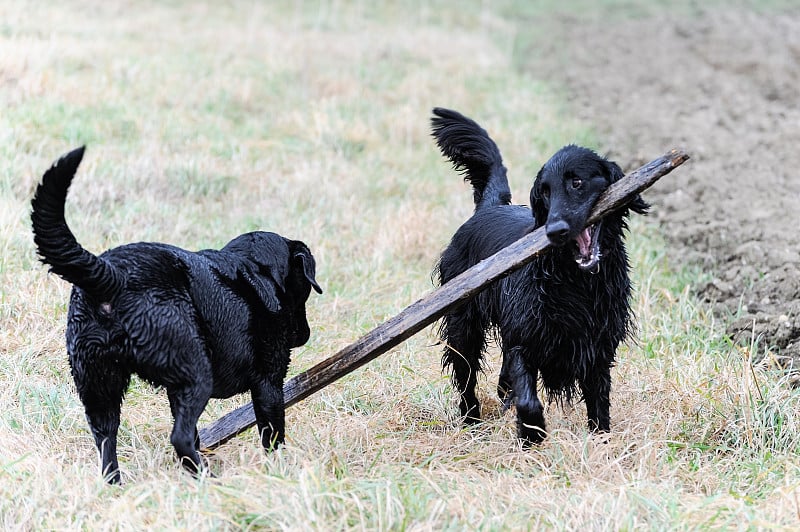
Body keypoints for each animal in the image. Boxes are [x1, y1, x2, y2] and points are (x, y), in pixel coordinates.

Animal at [28, 148, 322, 484]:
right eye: (305, 288)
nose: (304, 334)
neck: (255, 268)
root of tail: (112, 275)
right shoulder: (268, 383)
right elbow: (273, 435)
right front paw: (281, 472)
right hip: (195, 373)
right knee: (178, 438)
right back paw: (206, 477)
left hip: (98, 381)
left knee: (106, 438)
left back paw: (116, 485)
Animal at [432, 108, 648, 444]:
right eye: (544, 192)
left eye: (576, 182)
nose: (555, 230)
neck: (576, 281)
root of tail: (488, 208)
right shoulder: (525, 342)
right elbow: (528, 399)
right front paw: (532, 436)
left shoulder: (598, 350)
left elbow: (599, 405)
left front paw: (601, 442)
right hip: (462, 327)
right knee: (466, 378)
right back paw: (471, 421)